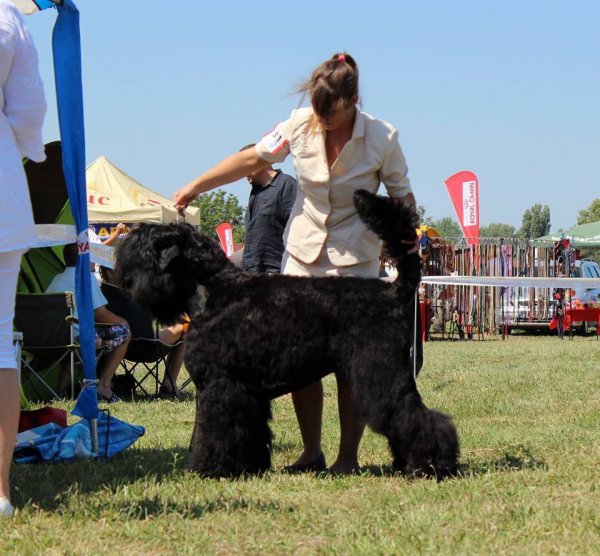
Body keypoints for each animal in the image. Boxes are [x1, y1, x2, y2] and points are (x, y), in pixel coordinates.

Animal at [116, 190, 460, 478]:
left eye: (140, 248)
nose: (124, 279)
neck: (215, 289)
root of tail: (395, 289)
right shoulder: (246, 393)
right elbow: (249, 432)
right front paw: (248, 467)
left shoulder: (219, 385)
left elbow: (214, 432)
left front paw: (209, 468)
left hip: (380, 374)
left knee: (415, 416)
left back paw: (432, 465)